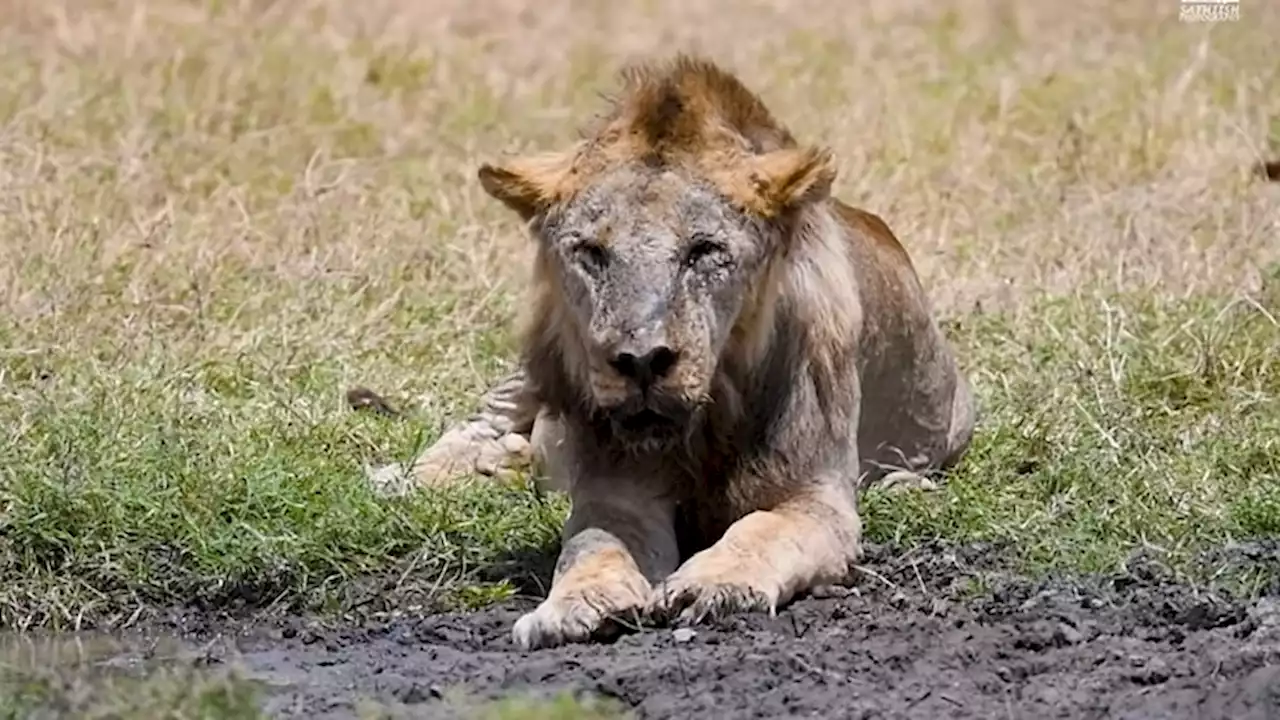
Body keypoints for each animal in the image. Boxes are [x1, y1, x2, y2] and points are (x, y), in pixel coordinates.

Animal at [404, 54, 972, 650]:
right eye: (592, 251)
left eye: (703, 250)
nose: (640, 360)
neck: (707, 419)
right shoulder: (615, 492)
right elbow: (591, 544)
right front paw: (577, 605)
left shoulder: (816, 496)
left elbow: (761, 530)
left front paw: (715, 584)